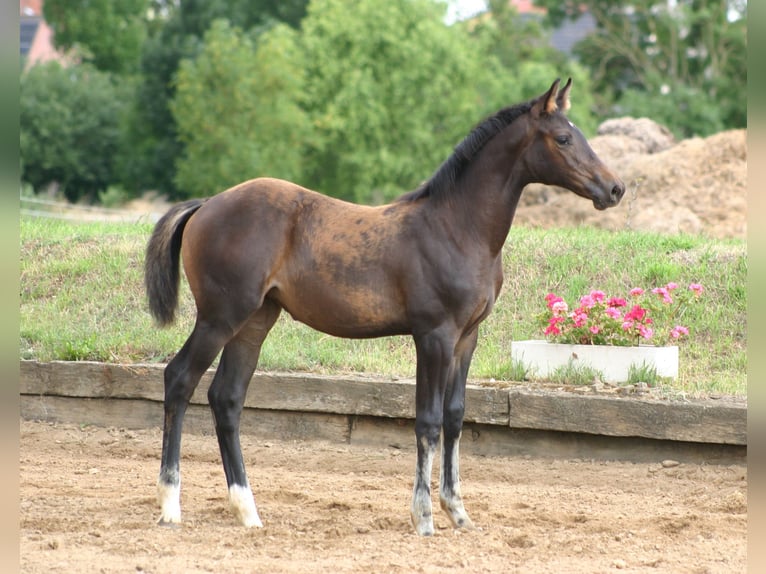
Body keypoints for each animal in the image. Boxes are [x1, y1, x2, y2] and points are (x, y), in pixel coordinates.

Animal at [144, 78, 624, 536]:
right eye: (563, 138)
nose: (615, 188)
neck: (457, 228)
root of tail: (207, 204)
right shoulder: (434, 336)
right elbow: (427, 422)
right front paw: (424, 517)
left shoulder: (466, 338)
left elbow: (455, 417)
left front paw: (459, 513)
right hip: (220, 317)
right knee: (179, 379)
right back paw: (170, 506)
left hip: (254, 322)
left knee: (226, 398)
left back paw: (247, 511)